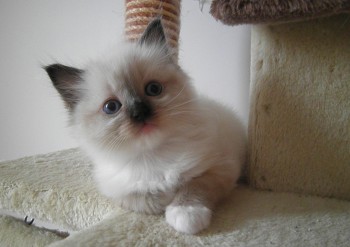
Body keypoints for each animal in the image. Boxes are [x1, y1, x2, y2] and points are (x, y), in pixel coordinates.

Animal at [44, 18, 246, 233]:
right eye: (111, 107)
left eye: (153, 89)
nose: (140, 113)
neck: (152, 157)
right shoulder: (119, 192)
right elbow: (145, 199)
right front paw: (165, 197)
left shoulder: (220, 168)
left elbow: (194, 187)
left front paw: (185, 213)